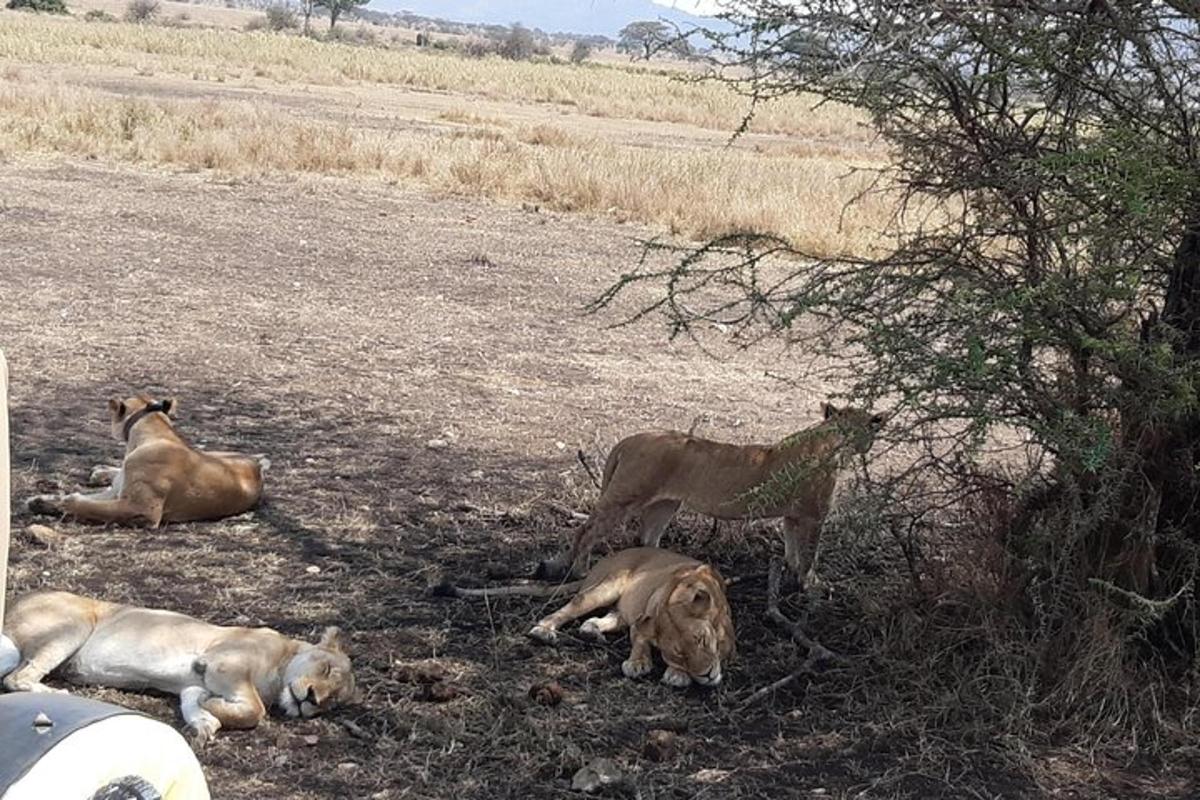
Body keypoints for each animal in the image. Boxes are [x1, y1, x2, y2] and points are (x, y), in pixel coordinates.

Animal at [24, 393, 270, 527]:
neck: (154, 431)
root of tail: (258, 466)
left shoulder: (142, 510)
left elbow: (89, 505)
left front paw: (64, 502)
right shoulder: (117, 493)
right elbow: (89, 500)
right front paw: (42, 500)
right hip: (216, 452)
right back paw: (100, 470)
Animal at [436, 551, 734, 690]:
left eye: (702, 640)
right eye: (679, 654)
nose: (707, 675)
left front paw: (676, 674)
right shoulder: (642, 622)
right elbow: (639, 642)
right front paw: (642, 664)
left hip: (618, 607)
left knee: (600, 619)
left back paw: (591, 632)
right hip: (607, 586)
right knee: (565, 611)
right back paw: (543, 631)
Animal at [535, 402, 883, 585]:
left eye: (861, 428)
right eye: (849, 428)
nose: (855, 444)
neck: (830, 443)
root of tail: (627, 441)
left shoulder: (793, 516)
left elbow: (793, 550)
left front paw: (793, 575)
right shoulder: (813, 515)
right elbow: (810, 554)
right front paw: (812, 586)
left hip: (665, 505)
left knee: (646, 538)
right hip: (626, 496)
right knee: (586, 531)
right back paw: (580, 570)